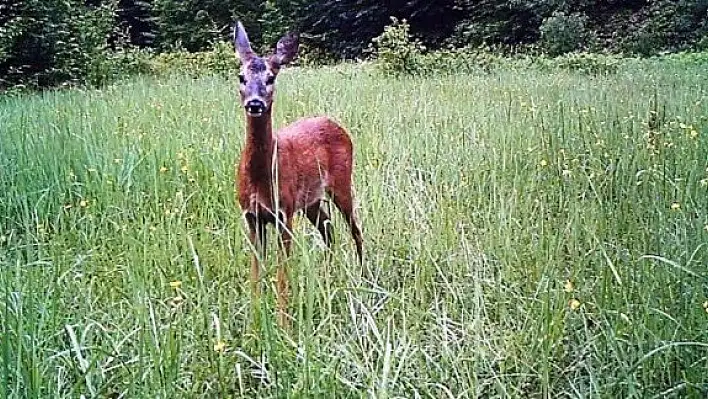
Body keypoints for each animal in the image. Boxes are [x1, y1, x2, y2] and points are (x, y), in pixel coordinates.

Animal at [234, 21, 362, 326]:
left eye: (271, 78)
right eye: (241, 76)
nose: (254, 103)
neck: (261, 177)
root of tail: (336, 123)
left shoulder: (284, 213)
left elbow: (282, 273)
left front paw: (283, 325)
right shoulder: (251, 216)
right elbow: (255, 273)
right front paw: (254, 322)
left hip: (341, 183)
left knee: (355, 229)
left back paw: (364, 279)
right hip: (311, 201)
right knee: (328, 229)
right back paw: (329, 277)